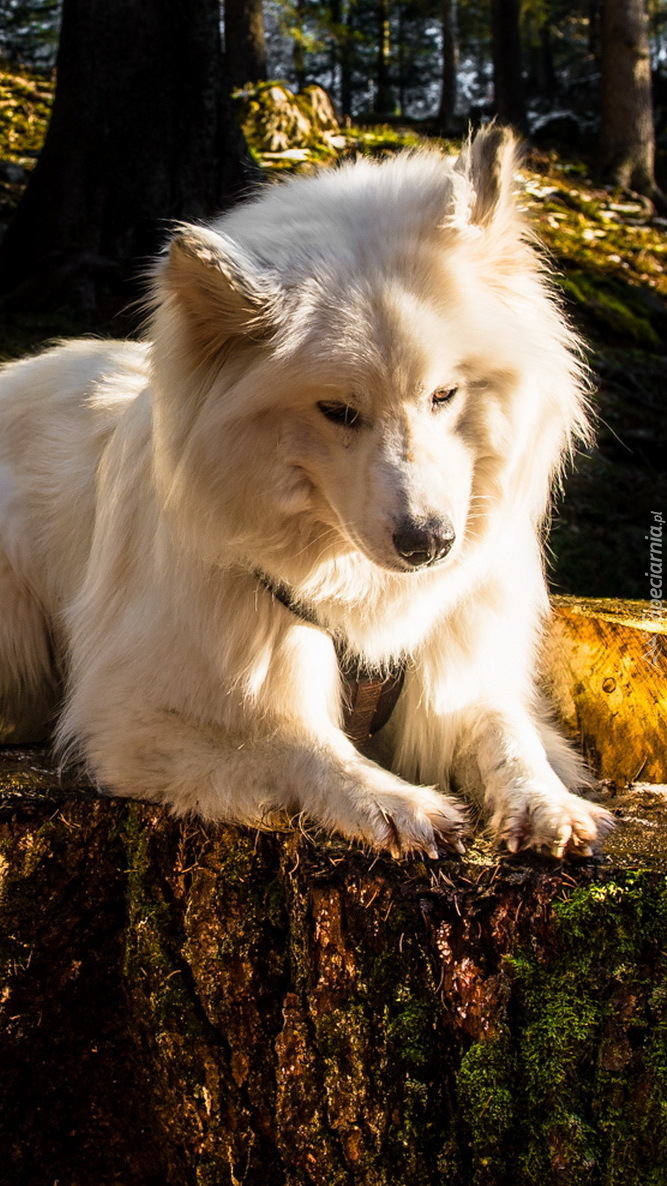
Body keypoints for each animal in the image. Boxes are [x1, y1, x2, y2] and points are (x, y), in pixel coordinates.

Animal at [0, 127, 612, 853]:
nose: (429, 544)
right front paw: (393, 801)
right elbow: (293, 740)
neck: (353, 584)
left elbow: (508, 734)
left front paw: (547, 804)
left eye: (444, 394)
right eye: (337, 411)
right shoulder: (141, 714)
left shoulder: (461, 676)